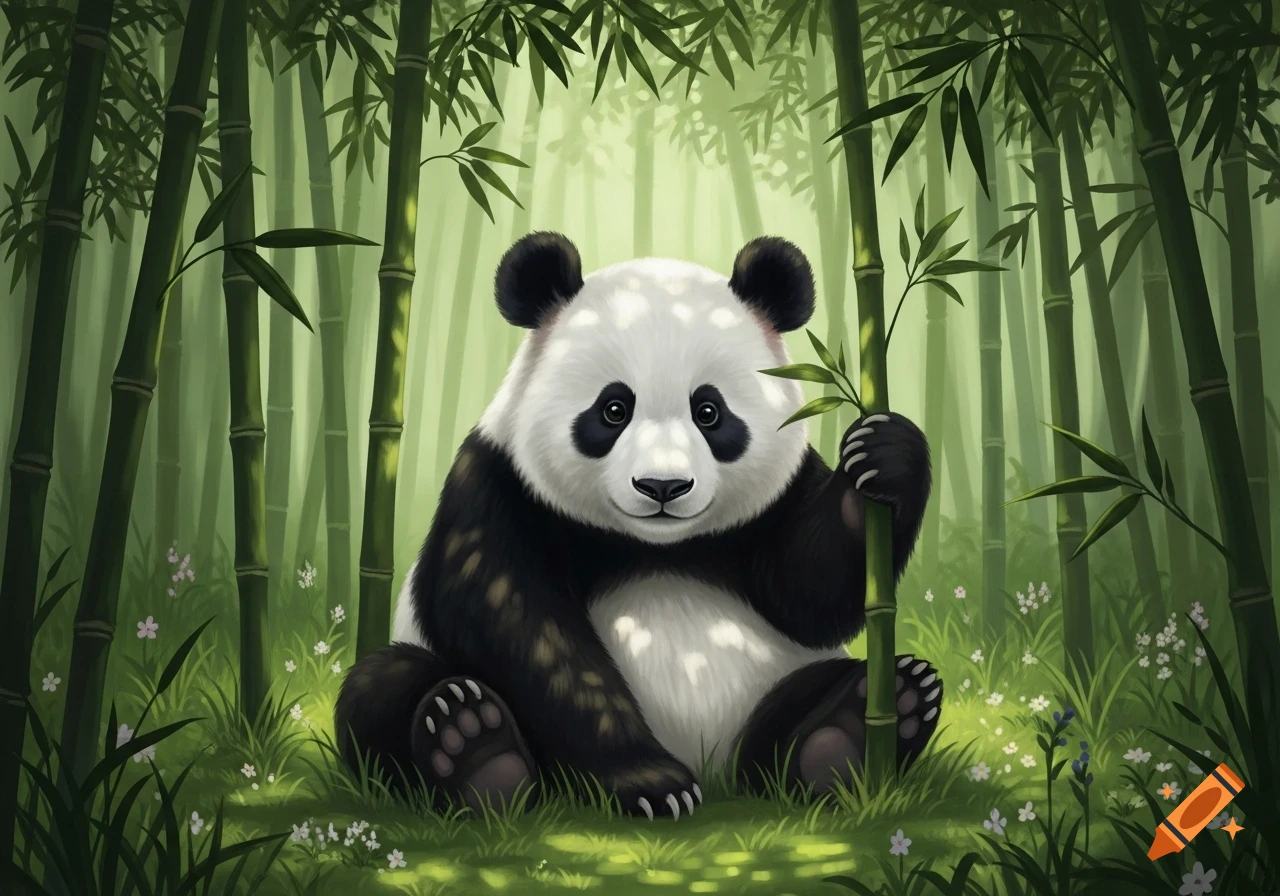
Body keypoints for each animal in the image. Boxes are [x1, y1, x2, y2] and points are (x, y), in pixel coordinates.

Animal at [335, 232, 941, 820]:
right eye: (613, 409)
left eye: (709, 412)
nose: (663, 487)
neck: (657, 546)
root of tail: (718, 768)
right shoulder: (498, 486)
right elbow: (516, 621)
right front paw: (648, 781)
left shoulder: (778, 497)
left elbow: (809, 593)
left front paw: (884, 455)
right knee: (385, 684)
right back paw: (476, 751)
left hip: (775, 689)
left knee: (801, 709)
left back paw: (857, 728)